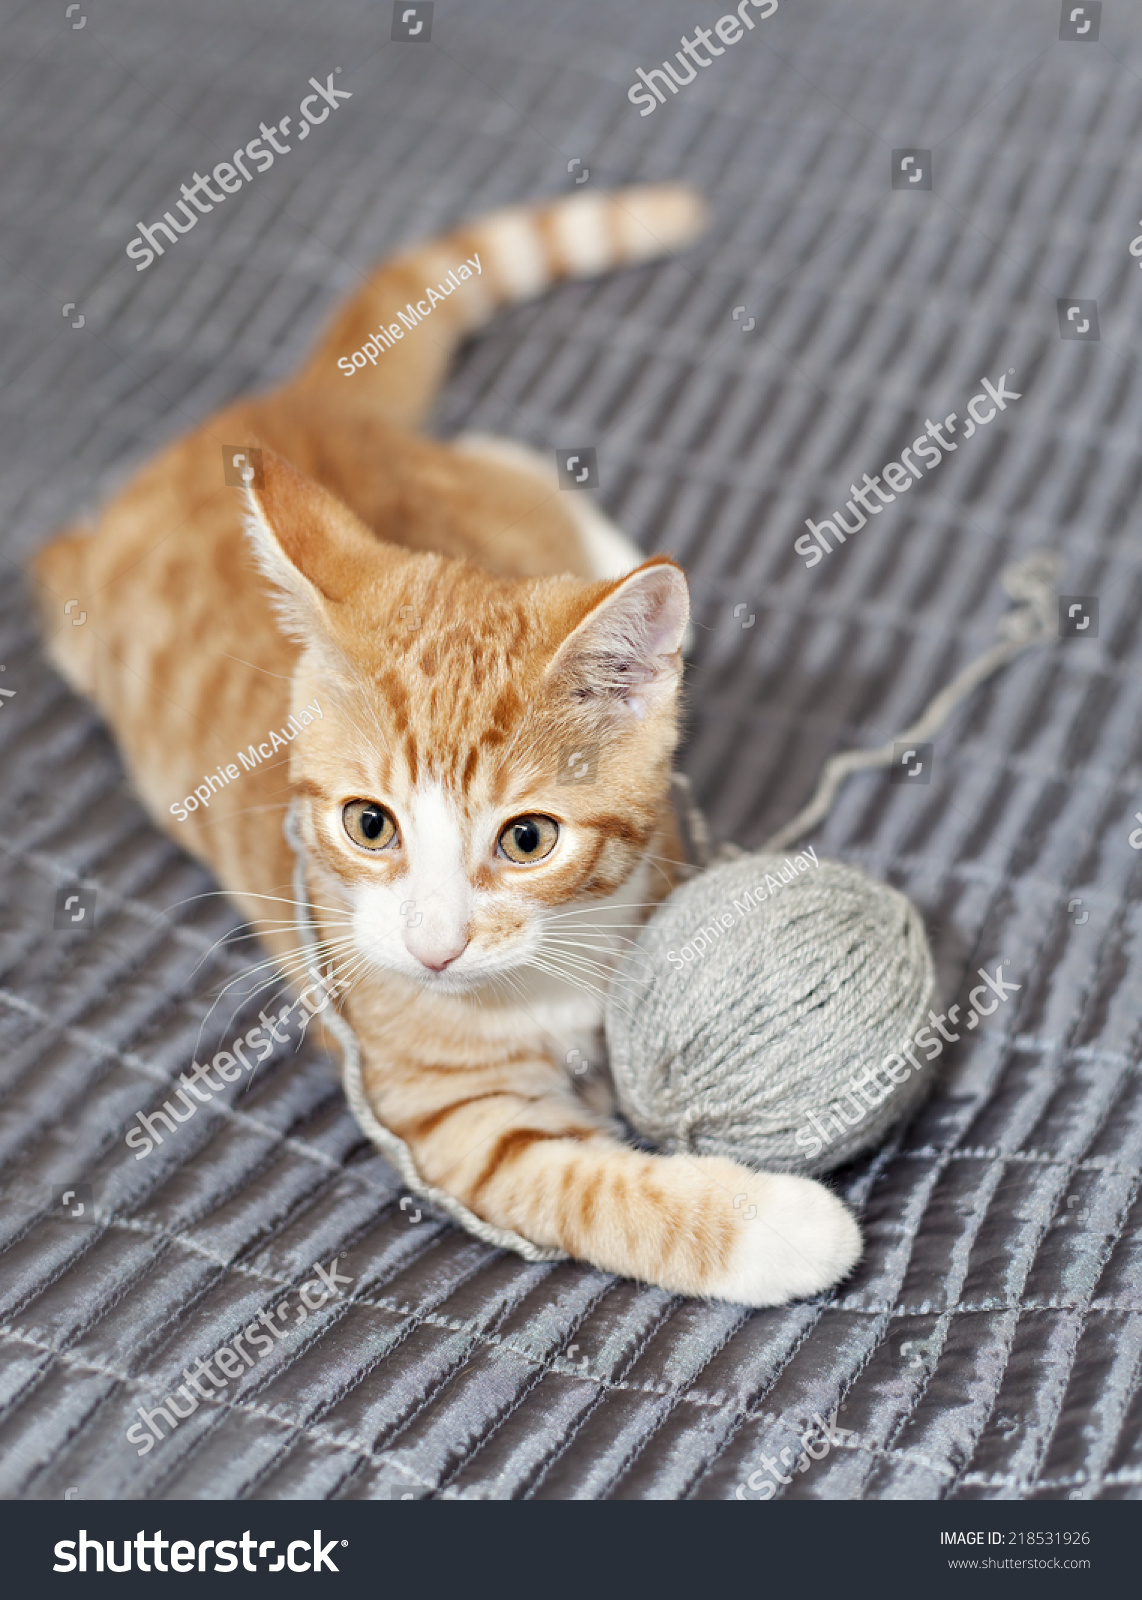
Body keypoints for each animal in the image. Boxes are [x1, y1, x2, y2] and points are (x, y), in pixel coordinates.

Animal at [31, 190, 857, 1312]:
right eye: (368, 824)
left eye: (527, 840)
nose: (434, 948)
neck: (543, 982)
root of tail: (260, 410)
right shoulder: (453, 1121)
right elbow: (594, 1189)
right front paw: (781, 1226)